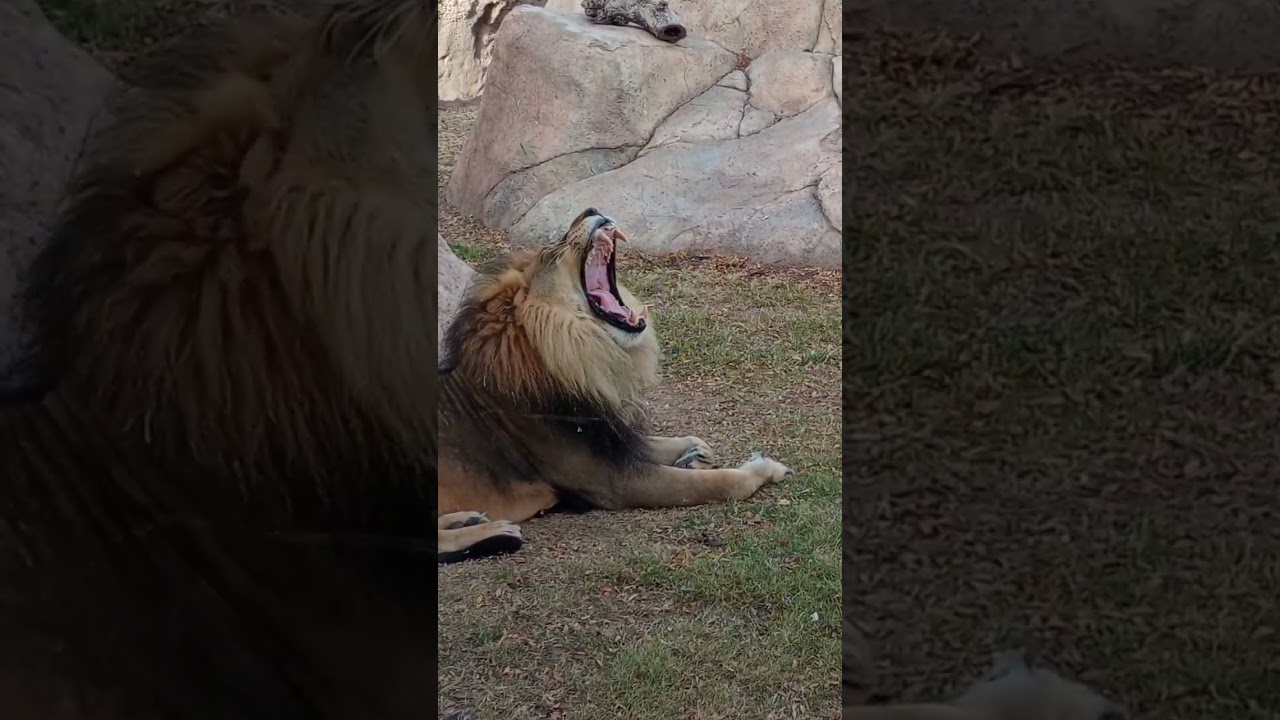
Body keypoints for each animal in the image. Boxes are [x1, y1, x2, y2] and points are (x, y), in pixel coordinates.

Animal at [436, 208, 794, 563]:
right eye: (553, 251)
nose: (590, 210)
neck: (585, 355)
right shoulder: (613, 480)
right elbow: (717, 483)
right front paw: (763, 469)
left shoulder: (611, 438)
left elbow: (676, 443)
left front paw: (694, 454)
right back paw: (492, 532)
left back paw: (466, 518)